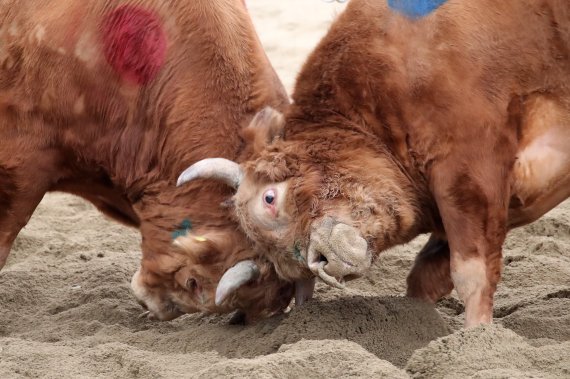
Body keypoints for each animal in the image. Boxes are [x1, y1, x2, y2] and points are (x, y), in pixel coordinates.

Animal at [181, 0, 568, 326]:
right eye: (290, 265)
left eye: (269, 198)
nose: (321, 260)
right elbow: (425, 276)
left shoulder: (470, 164)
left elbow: (471, 272)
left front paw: (477, 334)